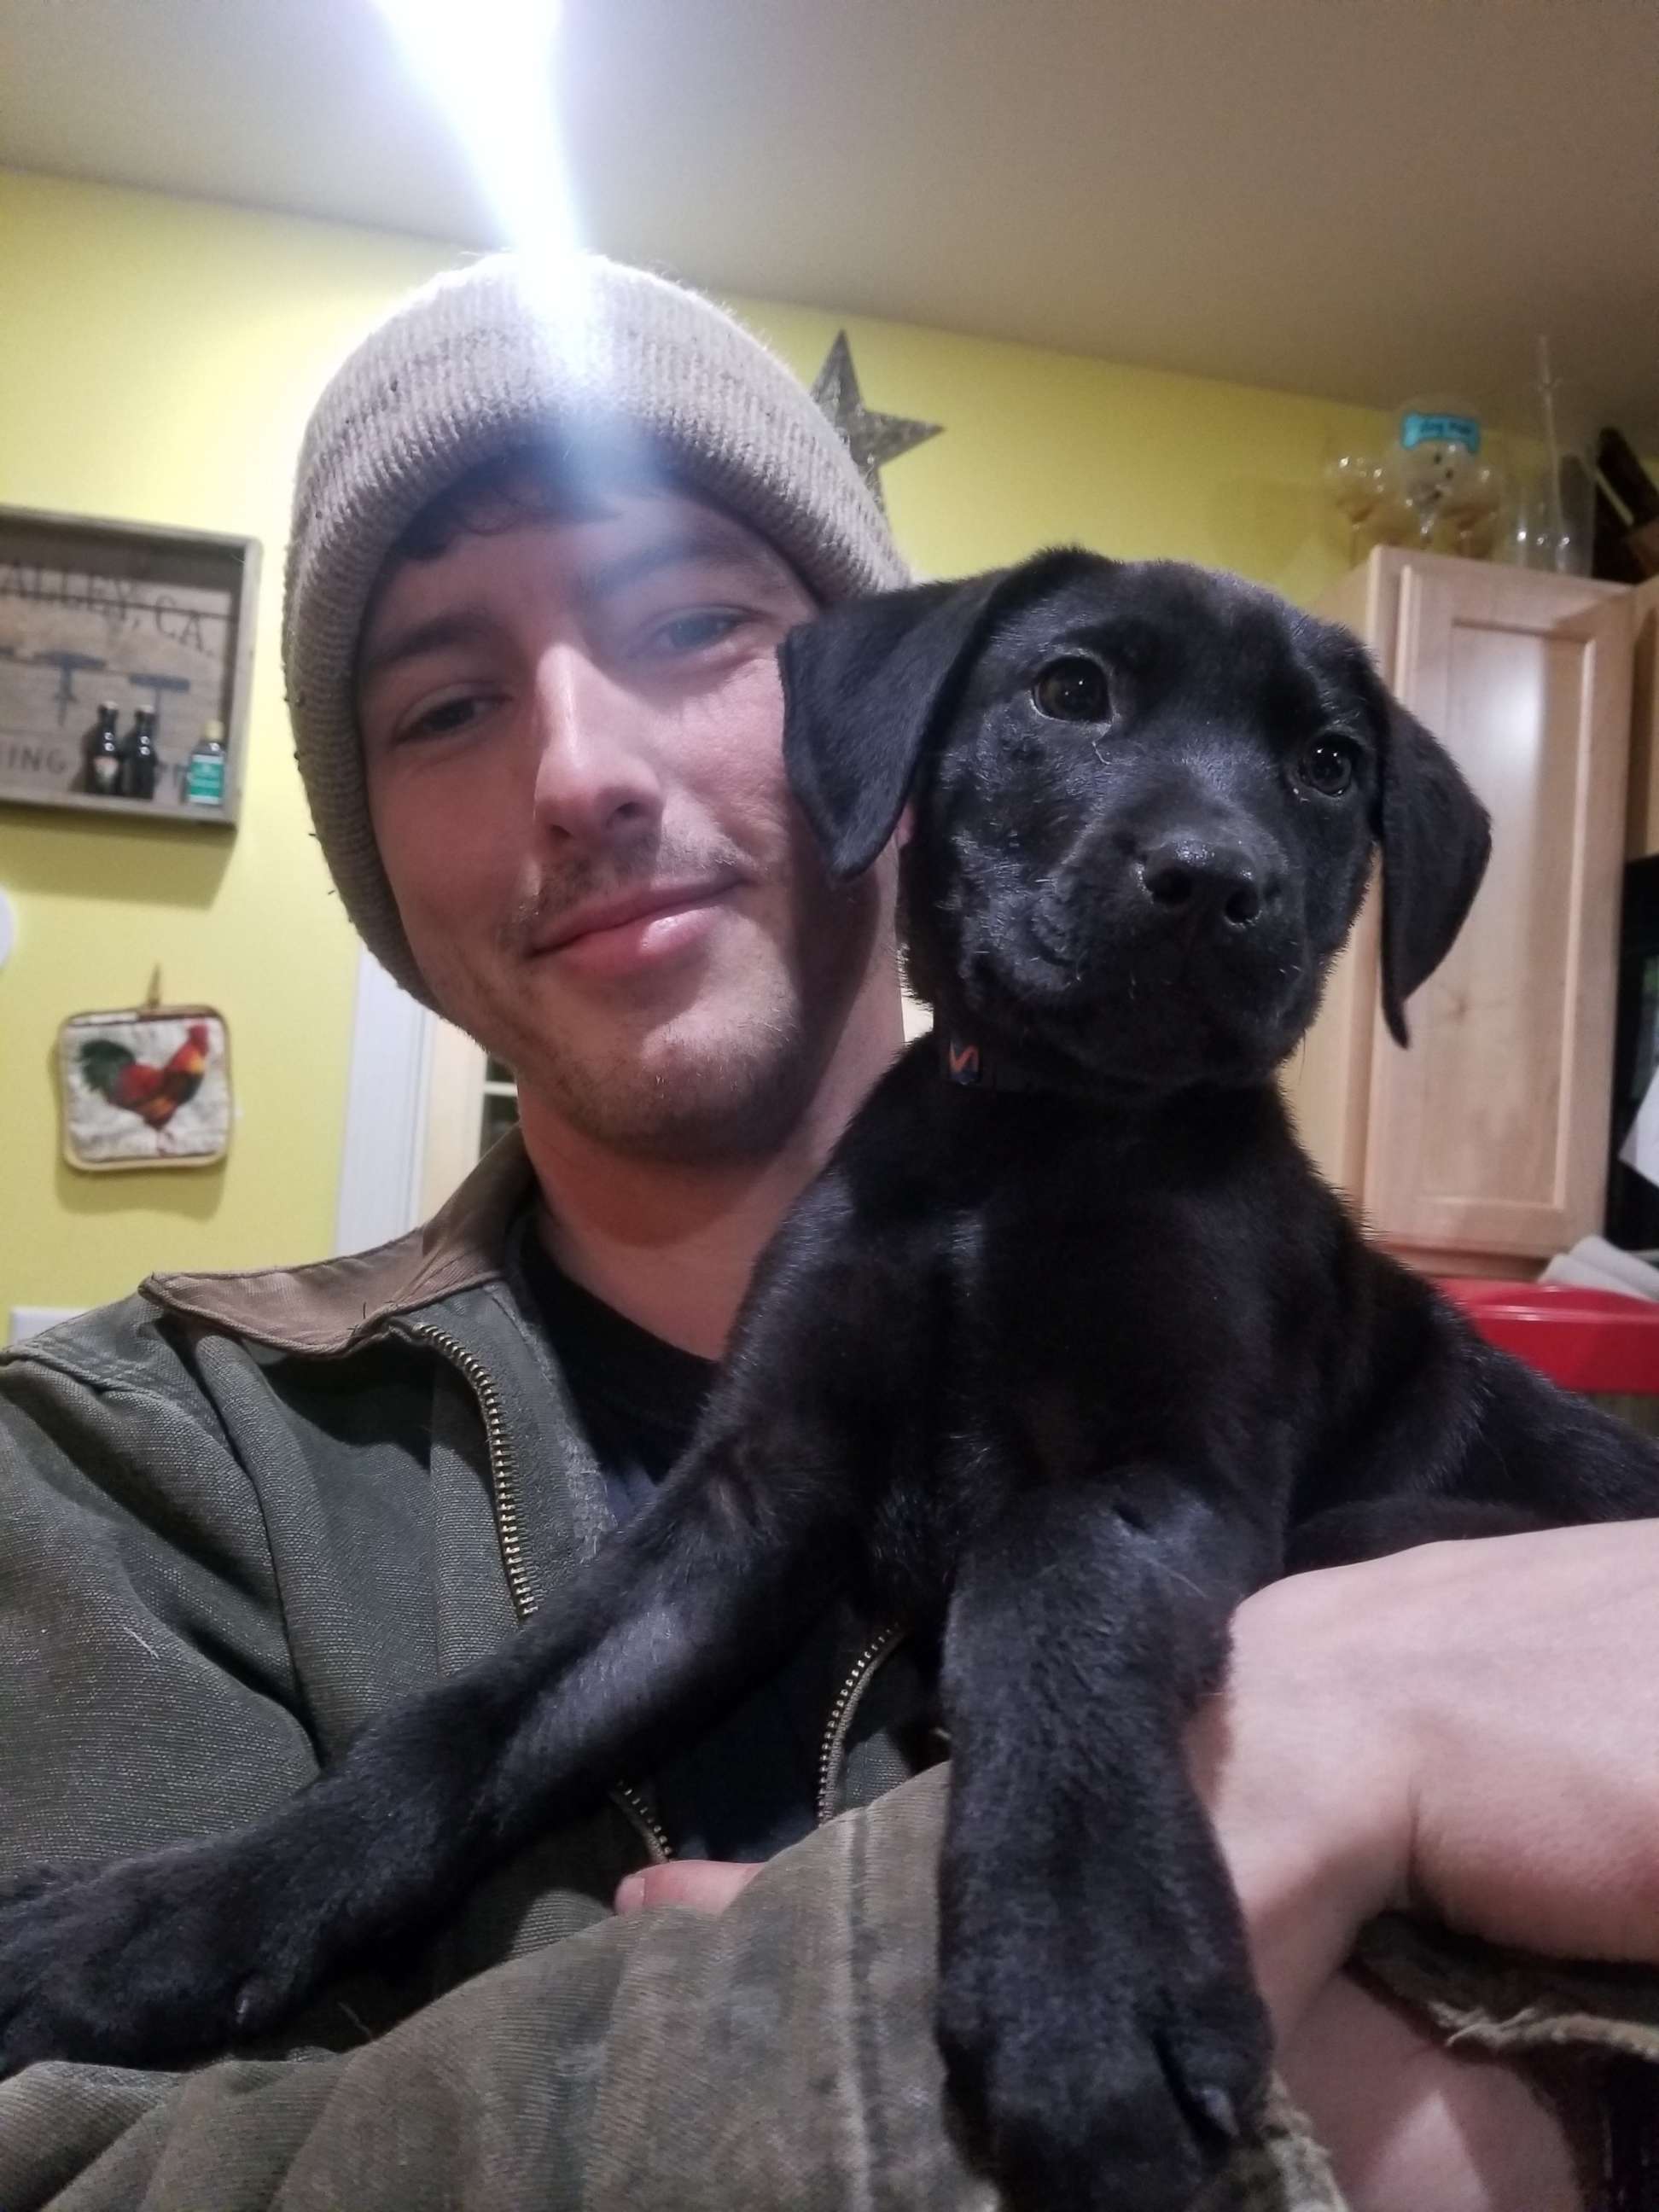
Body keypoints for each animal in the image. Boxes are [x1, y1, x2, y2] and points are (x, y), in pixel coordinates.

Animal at [3, 548, 1659, 2212]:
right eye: (1070, 690)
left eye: (1325, 766)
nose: (1213, 880)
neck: (1028, 1135)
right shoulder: (747, 1503)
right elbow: (463, 1724)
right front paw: (166, 1920)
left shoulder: (1160, 1476)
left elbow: (1041, 1585)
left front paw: (1079, 1972)